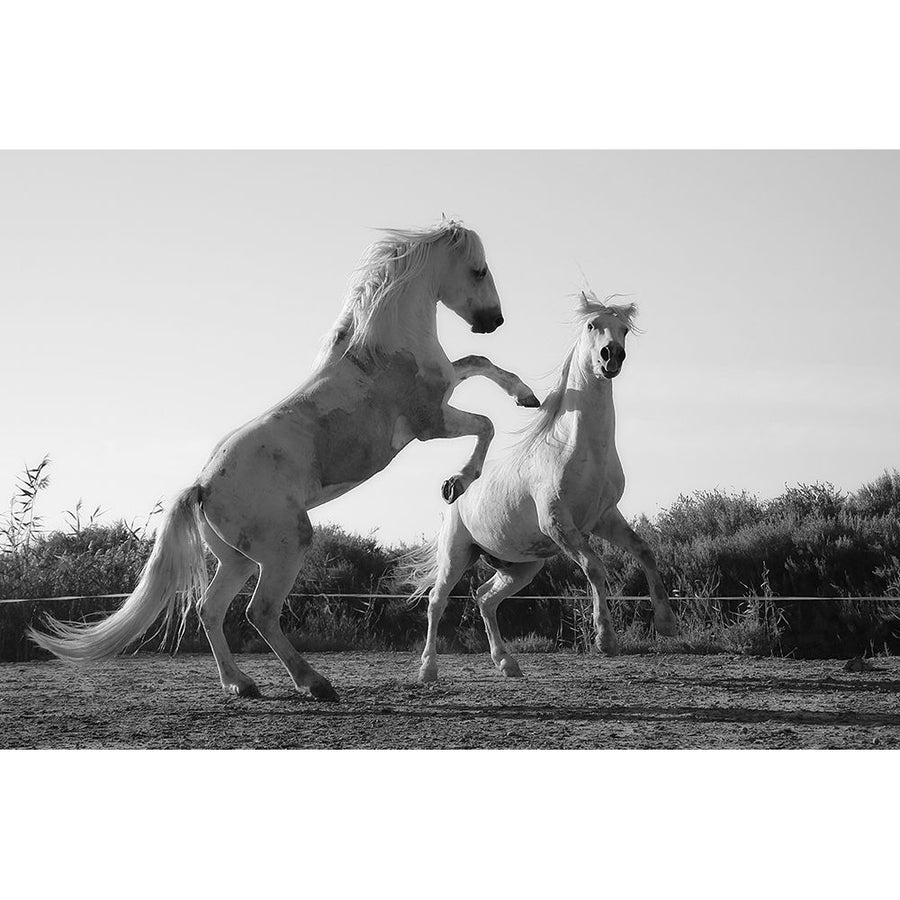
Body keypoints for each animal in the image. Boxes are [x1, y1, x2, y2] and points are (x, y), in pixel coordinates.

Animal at [31, 221, 536, 700]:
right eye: (479, 270)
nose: (494, 320)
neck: (383, 349)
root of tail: (202, 487)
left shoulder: (445, 389)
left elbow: (480, 363)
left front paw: (526, 396)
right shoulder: (430, 422)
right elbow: (486, 423)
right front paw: (458, 482)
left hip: (238, 560)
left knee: (211, 610)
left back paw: (241, 684)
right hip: (286, 546)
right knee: (260, 612)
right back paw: (314, 683)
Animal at [406, 294, 676, 684]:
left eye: (624, 329)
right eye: (592, 325)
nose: (611, 356)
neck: (580, 449)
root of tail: (455, 498)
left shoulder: (604, 518)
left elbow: (645, 551)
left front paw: (667, 623)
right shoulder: (559, 524)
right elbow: (595, 568)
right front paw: (605, 639)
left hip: (521, 566)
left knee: (485, 598)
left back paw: (508, 663)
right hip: (456, 554)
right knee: (436, 602)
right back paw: (428, 670)